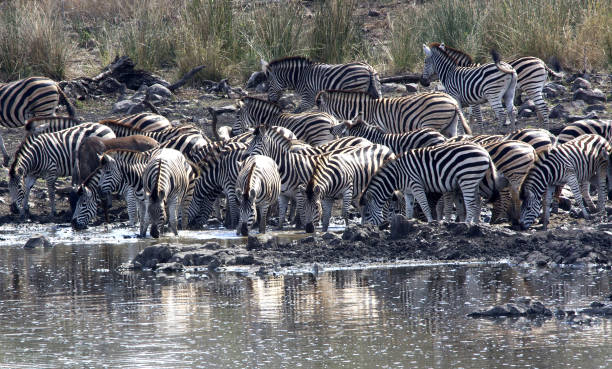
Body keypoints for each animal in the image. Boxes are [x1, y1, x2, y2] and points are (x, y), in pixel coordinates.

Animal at [314, 89, 470, 137]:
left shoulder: (375, 126)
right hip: (450, 125)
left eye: (319, 108)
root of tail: (452, 101)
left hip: (432, 122)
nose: (328, 127)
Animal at [360, 141, 494, 224]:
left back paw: (466, 224)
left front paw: (430, 221)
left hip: (468, 178)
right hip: (474, 181)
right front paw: (408, 221)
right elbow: (408, 208)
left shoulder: (415, 184)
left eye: (366, 214)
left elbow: (424, 205)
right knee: (477, 201)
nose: (366, 228)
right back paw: (475, 223)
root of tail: (484, 151)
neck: (396, 175)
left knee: (471, 203)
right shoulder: (408, 191)